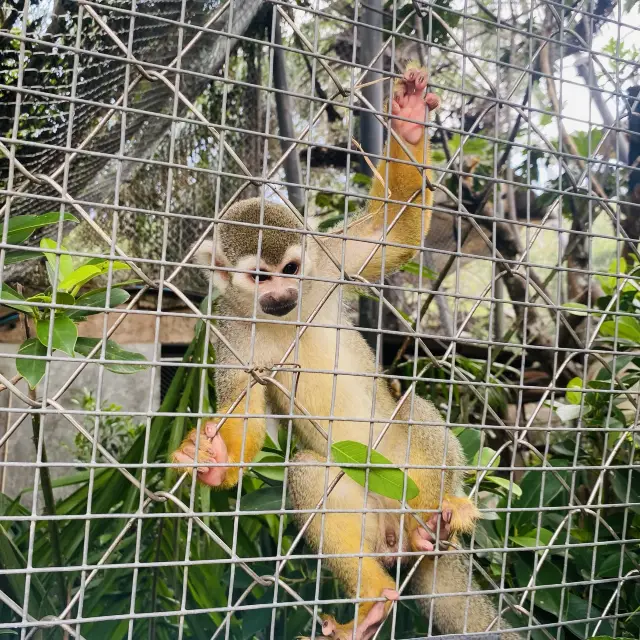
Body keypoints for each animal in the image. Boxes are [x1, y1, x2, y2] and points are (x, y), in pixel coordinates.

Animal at [174, 66, 520, 640]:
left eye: (291, 270)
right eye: (260, 278)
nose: (282, 295)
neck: (282, 318)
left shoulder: (329, 262)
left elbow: (393, 232)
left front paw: (408, 122)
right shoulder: (228, 335)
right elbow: (245, 414)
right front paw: (214, 460)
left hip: (401, 479)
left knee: (411, 411)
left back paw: (440, 513)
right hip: (367, 509)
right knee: (311, 471)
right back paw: (374, 599)